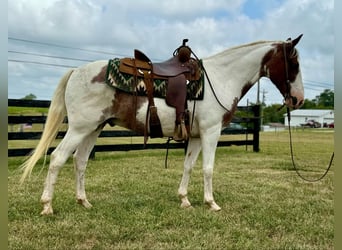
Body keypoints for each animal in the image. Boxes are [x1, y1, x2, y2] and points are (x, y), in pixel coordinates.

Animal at [19, 34, 304, 215]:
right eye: (294, 63)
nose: (298, 99)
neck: (221, 78)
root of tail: (76, 71)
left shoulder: (196, 136)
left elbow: (188, 166)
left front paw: (185, 200)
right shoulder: (211, 132)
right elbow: (208, 169)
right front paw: (211, 203)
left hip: (94, 129)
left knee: (80, 161)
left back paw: (84, 202)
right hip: (79, 128)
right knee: (57, 159)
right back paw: (47, 206)